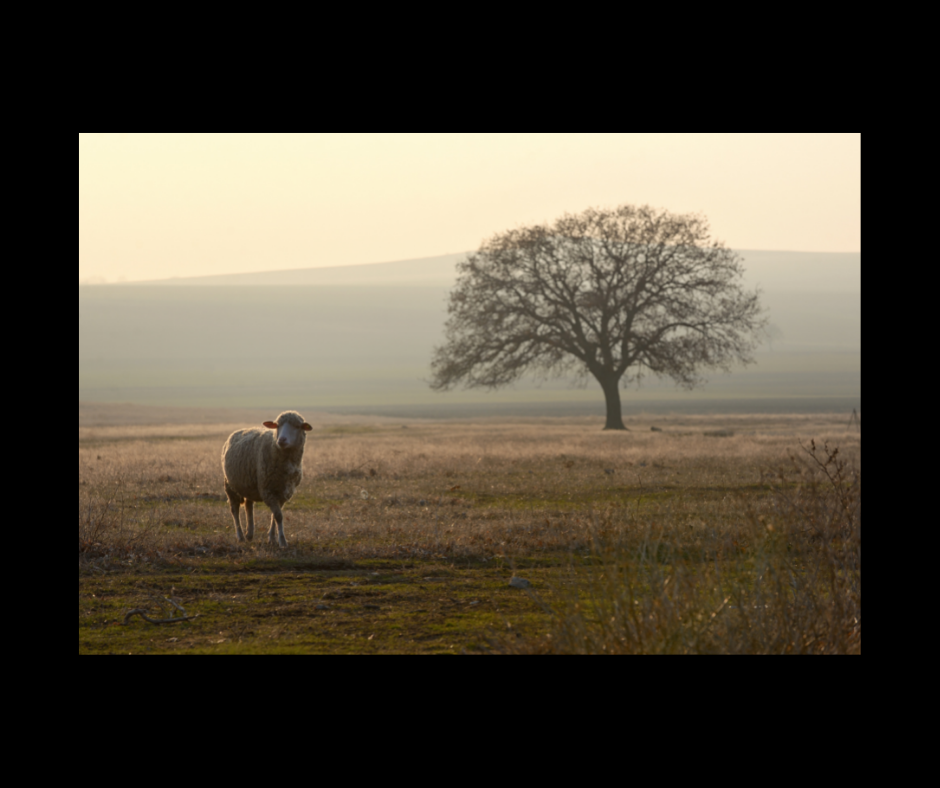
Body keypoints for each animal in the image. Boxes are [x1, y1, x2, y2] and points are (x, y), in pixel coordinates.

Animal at [220, 412, 312, 548]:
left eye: (297, 426)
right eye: (277, 425)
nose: (282, 440)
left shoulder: (283, 492)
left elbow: (275, 515)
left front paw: (272, 538)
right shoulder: (267, 490)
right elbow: (278, 516)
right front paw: (282, 541)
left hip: (249, 484)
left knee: (248, 505)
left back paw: (250, 533)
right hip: (230, 485)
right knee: (234, 509)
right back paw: (241, 536)